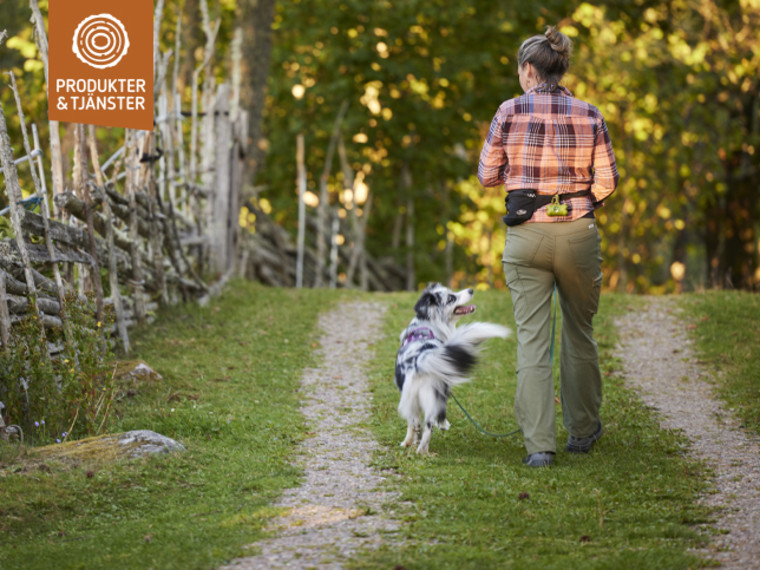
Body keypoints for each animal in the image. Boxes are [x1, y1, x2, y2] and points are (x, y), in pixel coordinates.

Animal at [392, 282, 510, 450]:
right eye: (451, 298)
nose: (471, 290)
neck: (427, 326)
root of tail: (420, 360)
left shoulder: (409, 397)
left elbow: (412, 424)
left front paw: (408, 442)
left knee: (423, 425)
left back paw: (421, 449)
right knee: (427, 425)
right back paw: (423, 449)